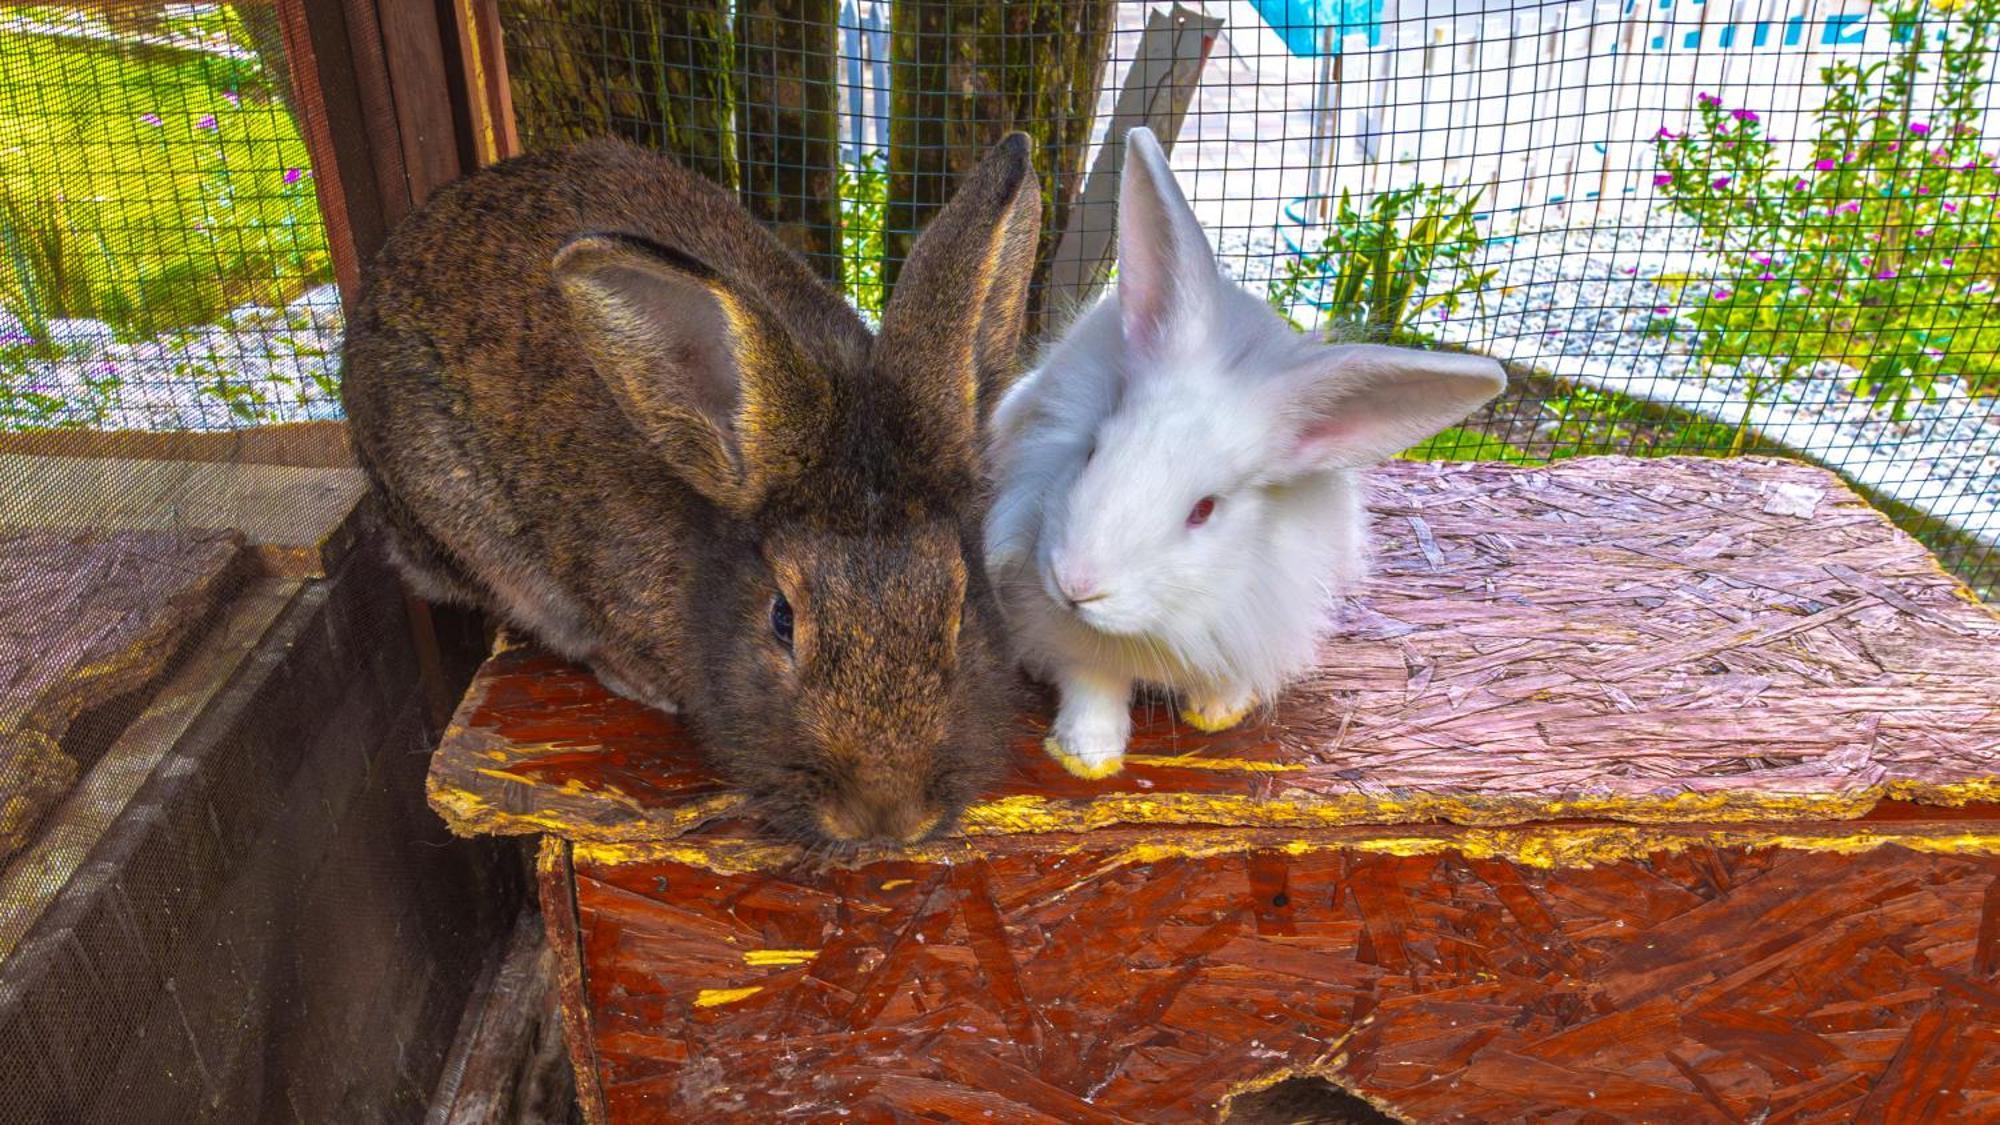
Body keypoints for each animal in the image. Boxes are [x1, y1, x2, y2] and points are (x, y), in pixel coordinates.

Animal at [984, 122, 1504, 768]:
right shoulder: (1066, 633)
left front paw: (1217, 712)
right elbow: (1092, 685)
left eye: (1204, 510)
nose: (1077, 585)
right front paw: (1087, 757)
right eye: (1091, 451)